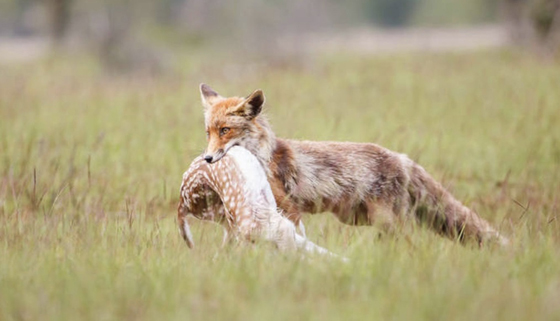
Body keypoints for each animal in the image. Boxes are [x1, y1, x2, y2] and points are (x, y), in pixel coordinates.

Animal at [199, 83, 510, 245]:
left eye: (225, 130)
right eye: (208, 133)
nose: (207, 158)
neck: (263, 157)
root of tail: (402, 157)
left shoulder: (289, 208)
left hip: (386, 221)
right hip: (362, 219)